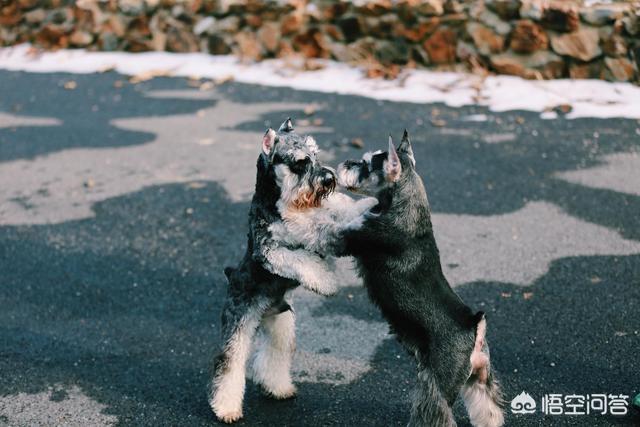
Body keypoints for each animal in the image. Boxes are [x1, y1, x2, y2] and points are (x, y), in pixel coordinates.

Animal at [210, 118, 376, 422]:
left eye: (315, 153)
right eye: (299, 162)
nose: (328, 179)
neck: (280, 201)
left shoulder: (318, 213)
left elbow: (337, 209)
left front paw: (366, 204)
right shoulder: (271, 251)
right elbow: (302, 258)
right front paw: (326, 282)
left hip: (282, 325)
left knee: (271, 357)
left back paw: (278, 389)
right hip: (239, 326)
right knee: (229, 365)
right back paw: (226, 408)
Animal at [338, 131, 502, 427]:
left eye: (367, 165)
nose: (345, 163)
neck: (404, 206)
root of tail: (474, 329)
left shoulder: (351, 239)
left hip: (436, 387)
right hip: (481, 379)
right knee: (490, 410)